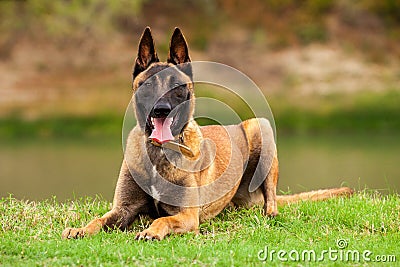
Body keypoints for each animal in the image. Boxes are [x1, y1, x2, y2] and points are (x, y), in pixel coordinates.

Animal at [62, 27, 354, 243]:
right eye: (147, 85)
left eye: (177, 87)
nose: (160, 109)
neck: (159, 155)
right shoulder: (122, 210)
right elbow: (99, 219)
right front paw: (80, 229)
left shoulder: (187, 216)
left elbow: (162, 218)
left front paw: (150, 231)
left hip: (260, 127)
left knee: (271, 198)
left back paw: (269, 213)